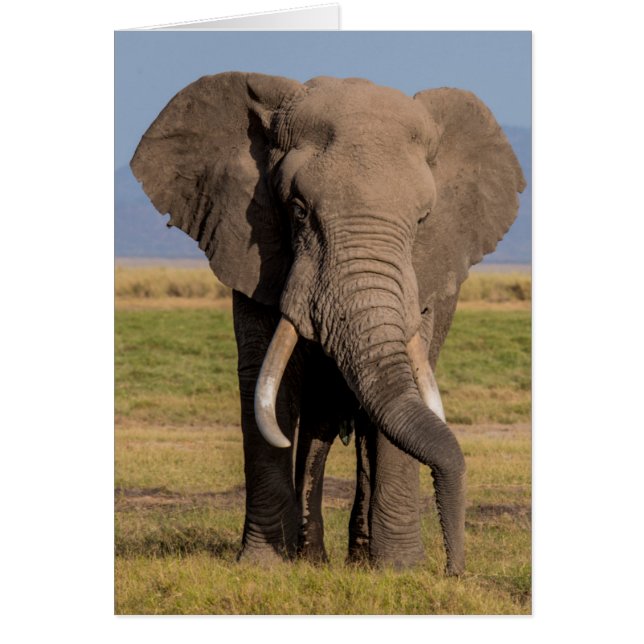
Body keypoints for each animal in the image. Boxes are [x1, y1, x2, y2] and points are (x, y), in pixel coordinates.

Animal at [130, 73, 525, 575]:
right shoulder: (253, 250)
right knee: (314, 426)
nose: (454, 570)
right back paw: (314, 557)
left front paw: (400, 570)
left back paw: (358, 559)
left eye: (422, 220)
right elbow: (267, 386)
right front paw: (264, 567)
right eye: (298, 210)